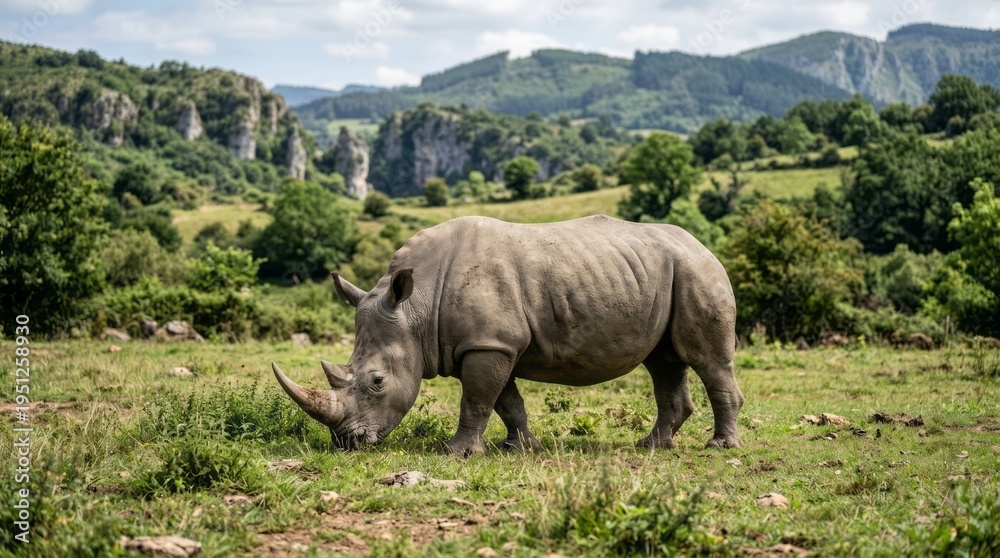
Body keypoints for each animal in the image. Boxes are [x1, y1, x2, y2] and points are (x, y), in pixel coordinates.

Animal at [271, 215, 744, 456]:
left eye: (377, 381)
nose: (346, 443)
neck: (414, 306)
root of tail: (702, 244)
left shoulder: (488, 344)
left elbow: (477, 399)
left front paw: (458, 453)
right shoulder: (489, 343)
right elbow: (505, 401)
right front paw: (520, 447)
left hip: (696, 271)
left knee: (706, 360)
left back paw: (719, 447)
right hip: (663, 272)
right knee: (663, 361)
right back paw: (652, 445)